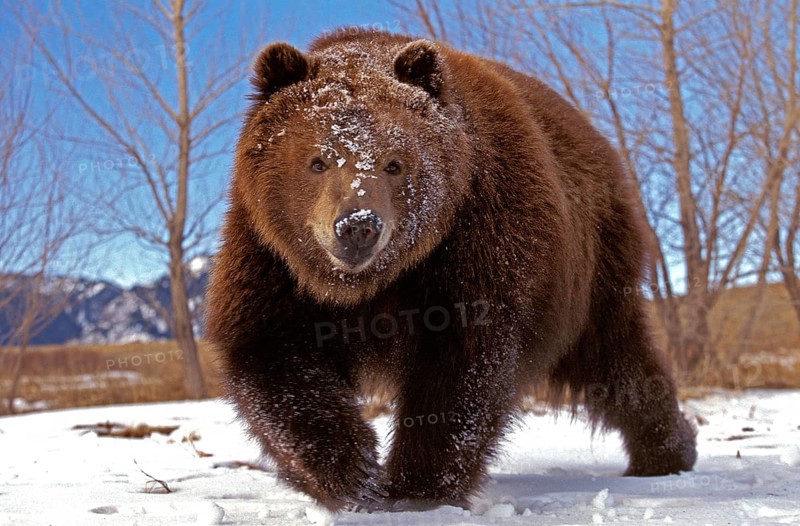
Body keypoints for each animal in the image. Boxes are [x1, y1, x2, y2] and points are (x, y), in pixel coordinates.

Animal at [205, 28, 697, 512]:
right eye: (318, 160)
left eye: (394, 162)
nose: (358, 226)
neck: (369, 285)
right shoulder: (272, 259)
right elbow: (270, 352)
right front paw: (353, 472)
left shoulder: (474, 238)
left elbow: (461, 367)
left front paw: (416, 487)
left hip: (593, 264)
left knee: (617, 358)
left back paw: (667, 452)